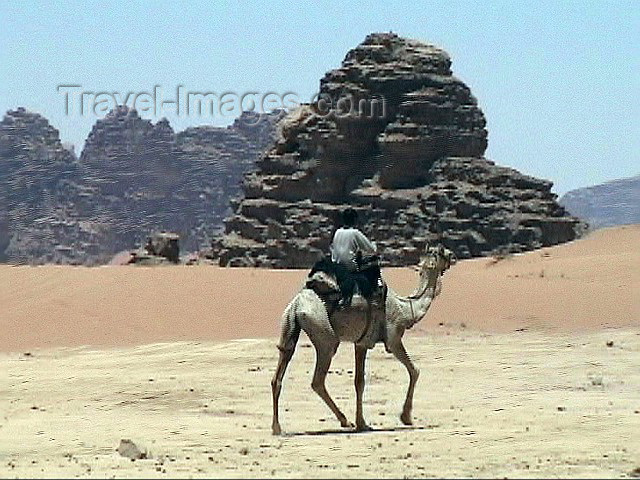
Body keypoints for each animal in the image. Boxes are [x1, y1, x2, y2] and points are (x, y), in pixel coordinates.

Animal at [270, 244, 456, 436]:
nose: (453, 255)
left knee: (280, 369)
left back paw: (277, 427)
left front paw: (362, 423)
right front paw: (405, 417)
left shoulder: (361, 343)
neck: (405, 308)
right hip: (324, 334)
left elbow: (359, 381)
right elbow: (414, 371)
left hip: (289, 324)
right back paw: (345, 421)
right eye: (442, 252)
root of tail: (297, 304)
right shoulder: (393, 339)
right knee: (318, 379)